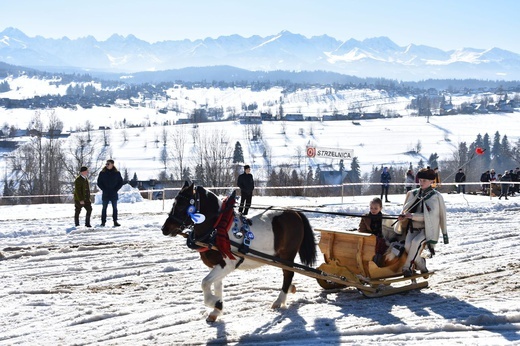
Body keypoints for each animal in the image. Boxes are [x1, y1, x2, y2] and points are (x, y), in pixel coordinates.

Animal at [162, 181, 316, 322]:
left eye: (181, 204)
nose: (165, 229)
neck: (217, 227)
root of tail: (294, 212)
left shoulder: (228, 263)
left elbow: (205, 283)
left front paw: (215, 303)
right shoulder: (215, 265)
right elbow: (217, 286)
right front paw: (216, 310)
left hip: (287, 255)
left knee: (288, 274)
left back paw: (279, 300)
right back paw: (290, 289)